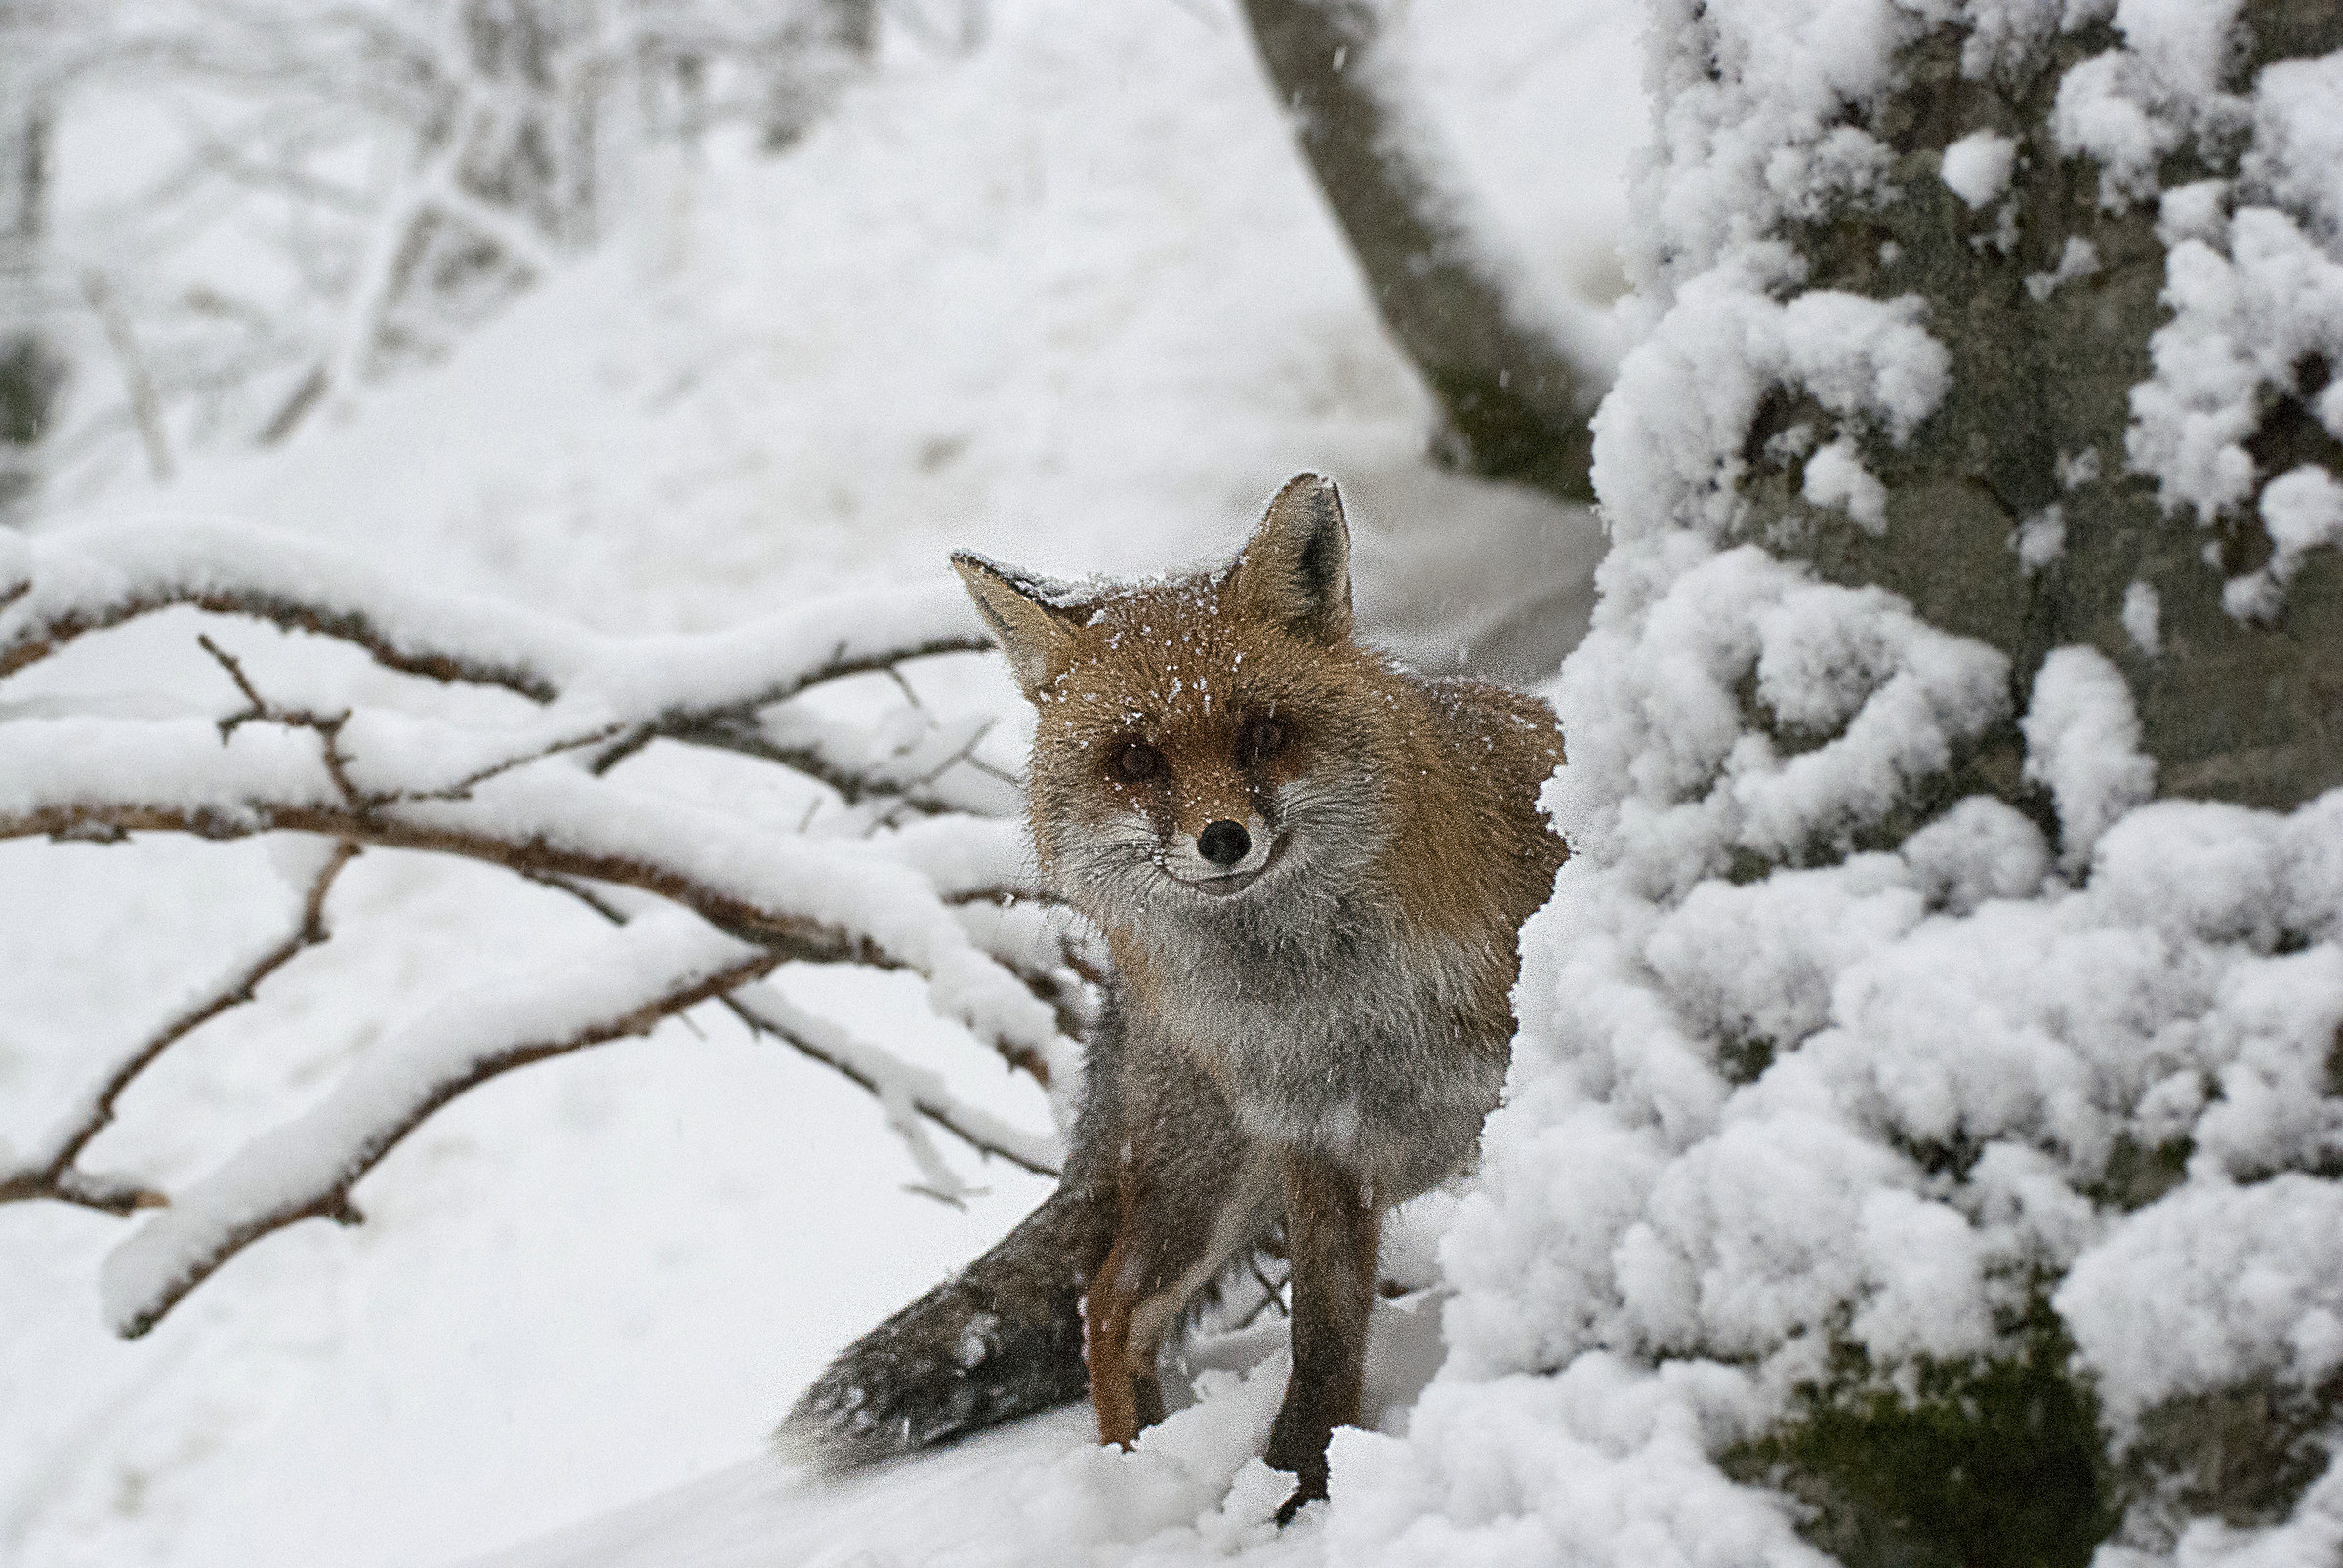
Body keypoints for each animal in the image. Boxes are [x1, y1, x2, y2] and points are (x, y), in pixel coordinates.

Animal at [778, 474, 1566, 1521]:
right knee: (1107, 1307)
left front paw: (1307, 1485)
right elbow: (1319, 1348)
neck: (1330, 1005)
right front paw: (1302, 1489)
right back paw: (1133, 1478)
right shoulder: (1321, 1145)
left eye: (1265, 733)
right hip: (1212, 1178)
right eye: (1135, 760)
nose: (1223, 839)